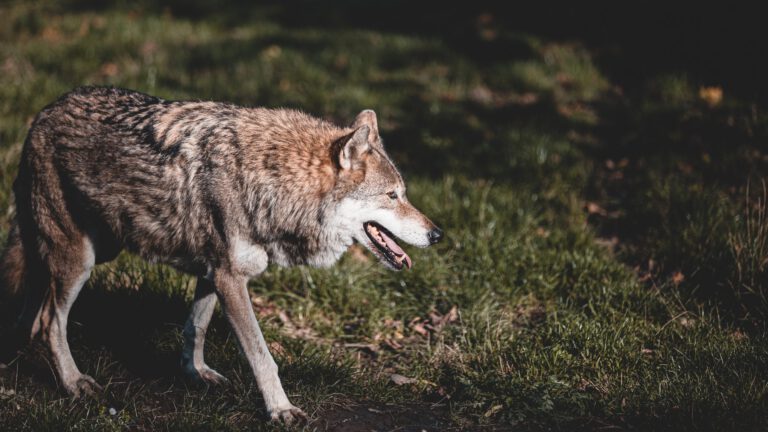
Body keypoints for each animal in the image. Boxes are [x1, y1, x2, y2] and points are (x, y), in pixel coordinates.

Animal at [0, 86, 444, 424]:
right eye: (393, 196)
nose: (437, 234)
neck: (273, 182)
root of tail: (43, 112)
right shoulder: (231, 279)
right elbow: (263, 356)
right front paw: (280, 410)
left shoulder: (213, 273)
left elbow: (194, 329)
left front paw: (195, 374)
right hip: (80, 260)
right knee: (51, 321)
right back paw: (73, 382)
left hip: (93, 250)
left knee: (35, 303)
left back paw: (24, 344)